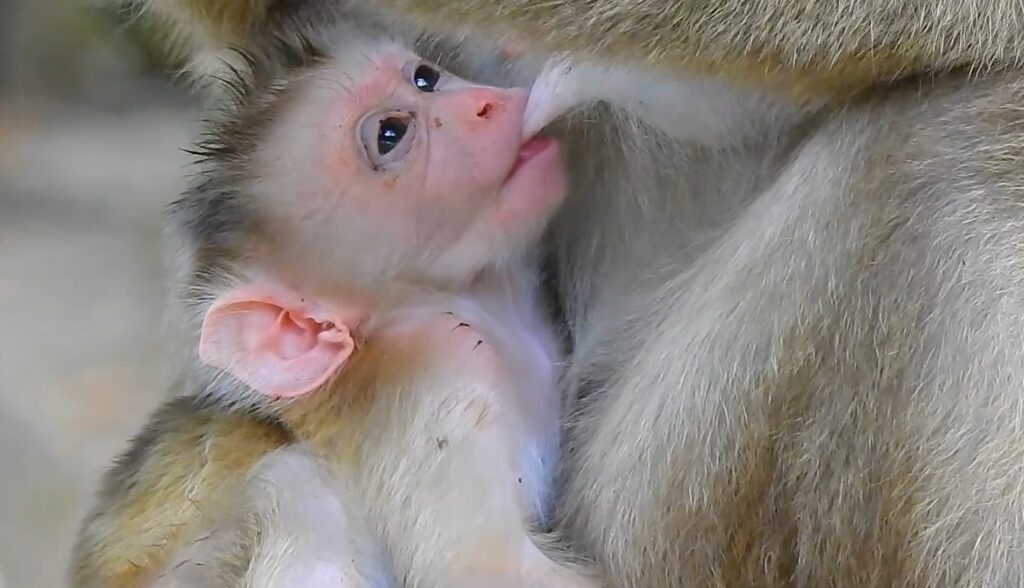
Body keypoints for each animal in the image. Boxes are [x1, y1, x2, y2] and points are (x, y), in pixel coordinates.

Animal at [70, 19, 598, 588]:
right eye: (390, 134)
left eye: (425, 78)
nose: (483, 105)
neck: (470, 300)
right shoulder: (440, 379)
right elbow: (487, 565)